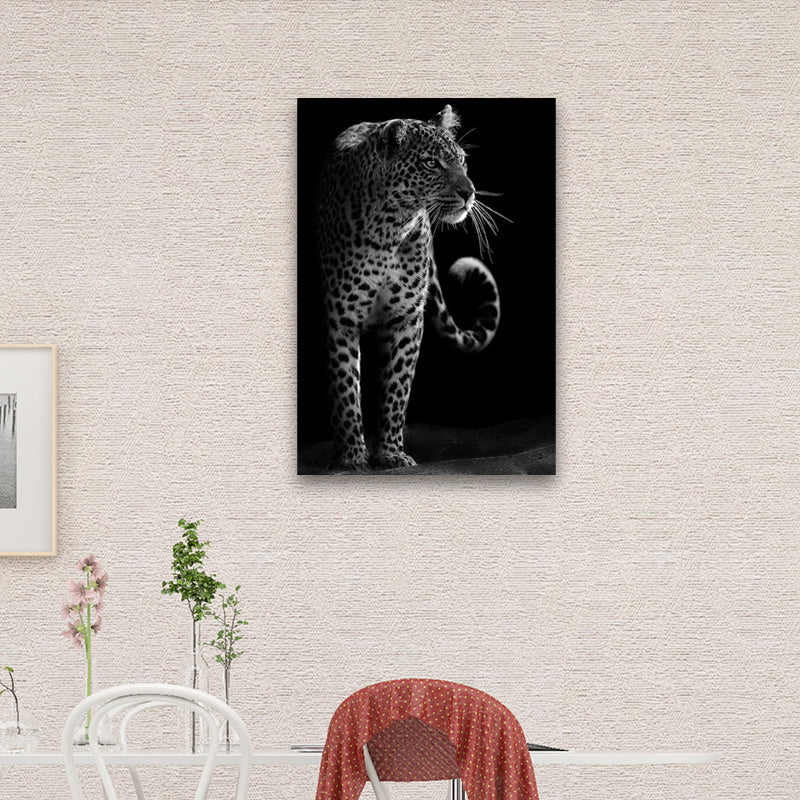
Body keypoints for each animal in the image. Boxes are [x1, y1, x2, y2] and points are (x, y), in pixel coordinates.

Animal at [316, 105, 501, 472]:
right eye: (431, 163)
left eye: (462, 160)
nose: (469, 193)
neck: (389, 228)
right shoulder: (342, 317)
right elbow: (345, 387)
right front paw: (351, 457)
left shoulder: (406, 319)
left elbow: (396, 388)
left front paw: (390, 453)